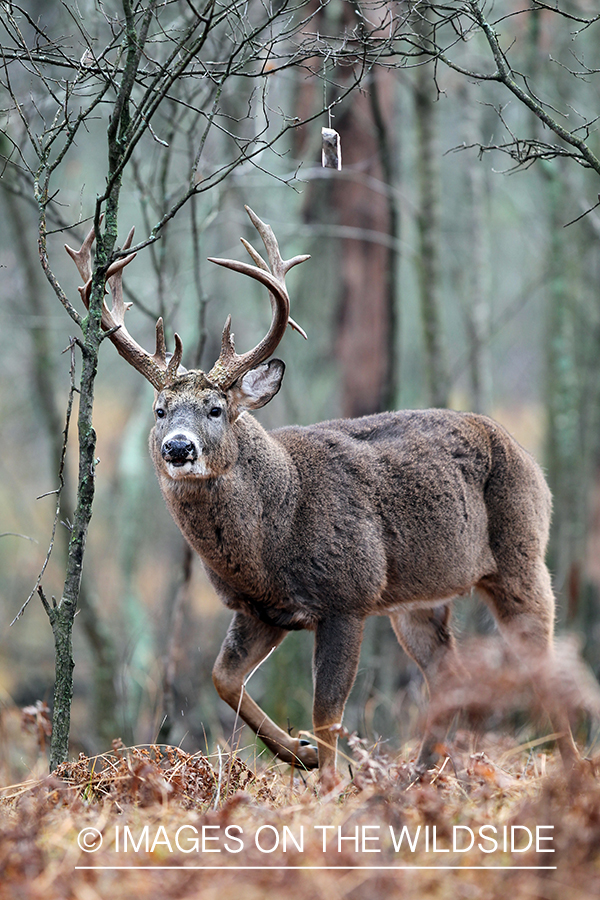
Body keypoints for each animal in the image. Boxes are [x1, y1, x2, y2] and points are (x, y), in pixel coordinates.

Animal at [64, 206, 576, 772]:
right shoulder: (259, 609)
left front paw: (330, 777)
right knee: (449, 675)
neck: (274, 531)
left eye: (215, 409)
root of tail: (528, 457)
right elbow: (223, 680)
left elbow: (326, 712)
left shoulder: (347, 596)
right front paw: (299, 754)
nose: (178, 447)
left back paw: (569, 768)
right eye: (159, 411)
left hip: (522, 556)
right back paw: (421, 774)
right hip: (418, 599)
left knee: (544, 667)